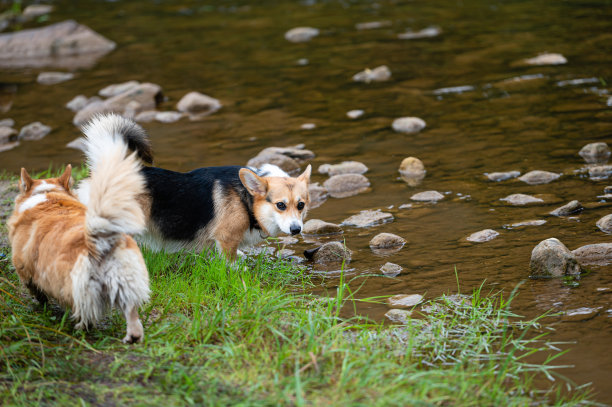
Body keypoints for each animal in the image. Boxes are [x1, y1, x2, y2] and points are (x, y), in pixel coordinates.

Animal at [8, 115, 151, 344]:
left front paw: (41, 304)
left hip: (78, 289)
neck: (48, 195)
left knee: (85, 314)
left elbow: (36, 290)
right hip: (128, 282)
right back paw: (132, 338)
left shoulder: (24, 267)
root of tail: (100, 241)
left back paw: (79, 330)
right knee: (132, 316)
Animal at [77, 113, 314, 260]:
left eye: (301, 205)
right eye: (280, 205)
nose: (296, 230)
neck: (246, 199)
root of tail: (108, 171)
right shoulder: (226, 237)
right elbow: (229, 260)